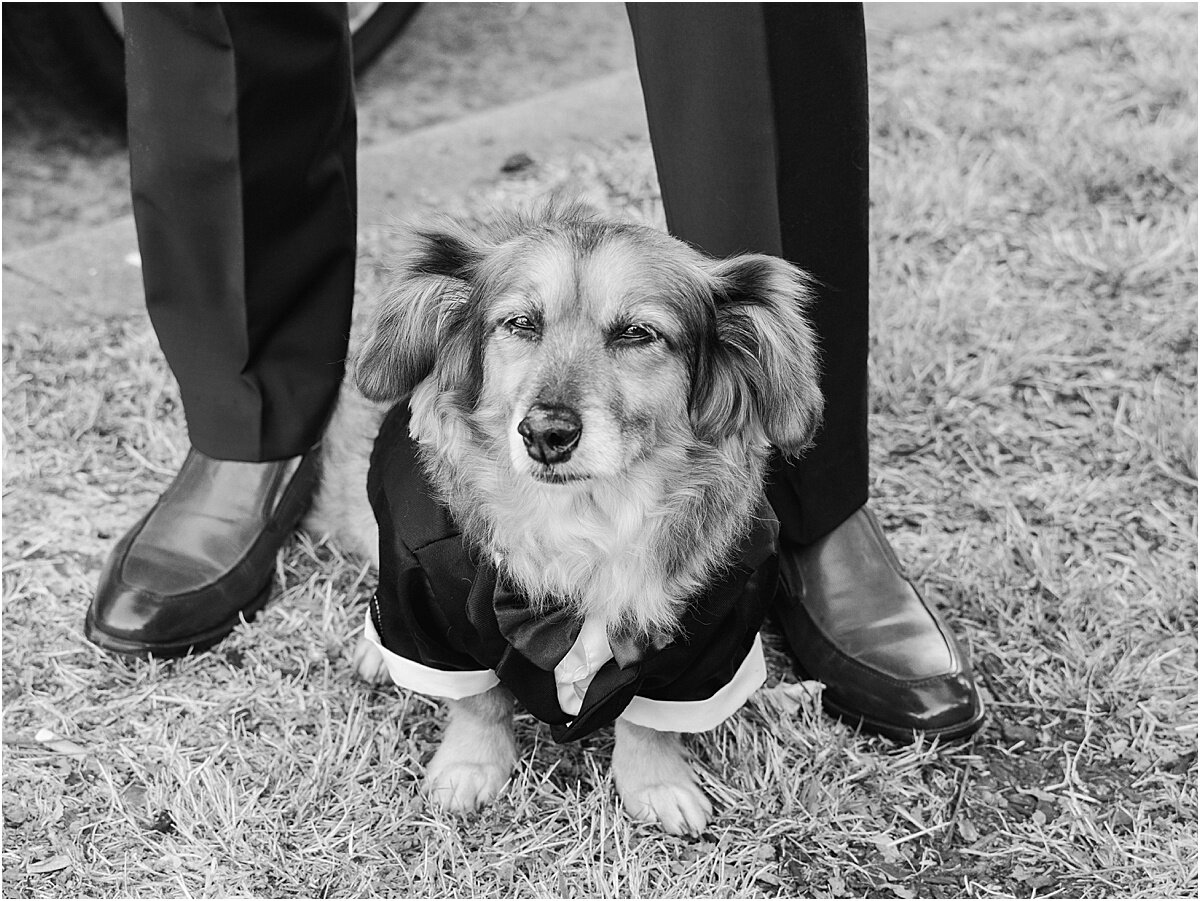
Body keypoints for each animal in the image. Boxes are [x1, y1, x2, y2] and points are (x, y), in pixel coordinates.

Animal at [307, 200, 825, 835]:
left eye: (637, 333)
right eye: (521, 324)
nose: (544, 434)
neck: (583, 515)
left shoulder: (711, 641)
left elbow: (649, 724)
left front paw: (657, 783)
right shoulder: (429, 601)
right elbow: (478, 702)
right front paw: (470, 766)